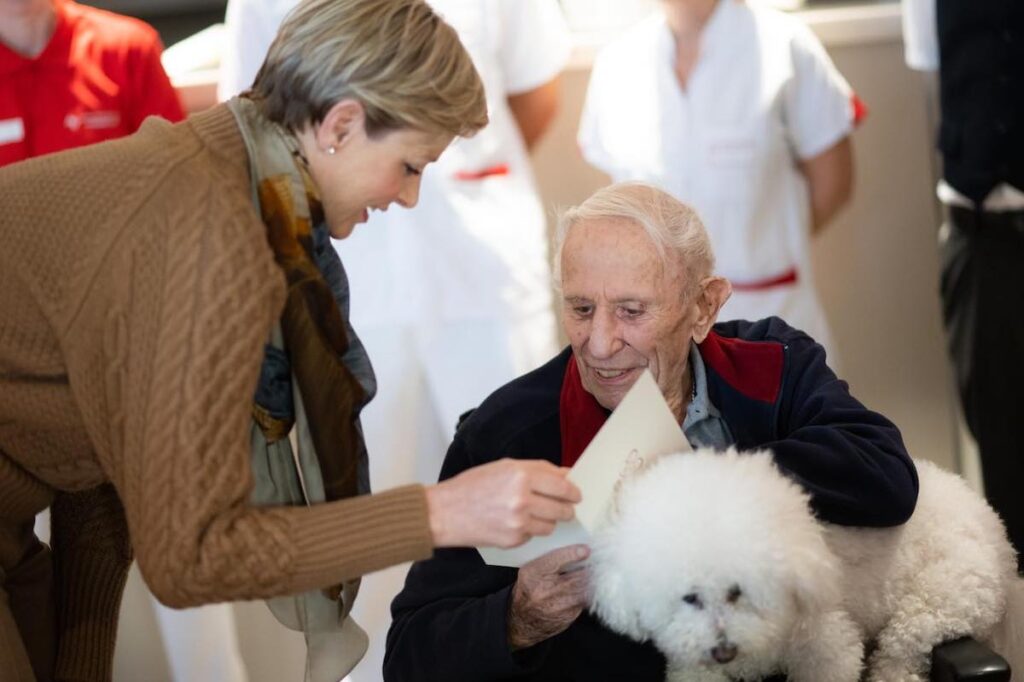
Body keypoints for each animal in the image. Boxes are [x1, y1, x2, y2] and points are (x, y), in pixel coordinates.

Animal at [585, 446, 1024, 679]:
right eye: (689, 598)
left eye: (738, 591)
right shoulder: (693, 666)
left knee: (900, 657)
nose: (723, 650)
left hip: (938, 602)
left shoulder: (826, 649)